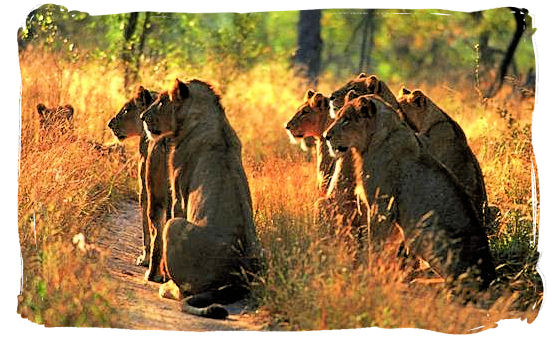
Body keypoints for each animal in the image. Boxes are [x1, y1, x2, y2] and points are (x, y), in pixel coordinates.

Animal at [141, 78, 264, 318]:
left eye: (161, 101)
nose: (142, 117)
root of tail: (236, 278)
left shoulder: (178, 195)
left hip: (174, 225)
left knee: (183, 291)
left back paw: (166, 287)